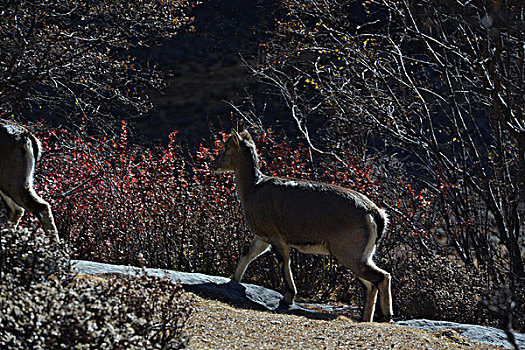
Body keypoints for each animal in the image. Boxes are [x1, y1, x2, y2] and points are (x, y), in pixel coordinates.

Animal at [211, 130, 390, 322]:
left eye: (227, 147)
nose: (214, 164)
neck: (252, 190)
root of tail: (377, 215)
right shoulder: (262, 237)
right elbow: (247, 254)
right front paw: (234, 280)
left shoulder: (276, 236)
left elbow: (284, 262)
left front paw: (288, 297)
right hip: (362, 254)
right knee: (370, 285)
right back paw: (367, 319)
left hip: (348, 251)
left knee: (382, 277)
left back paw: (387, 316)